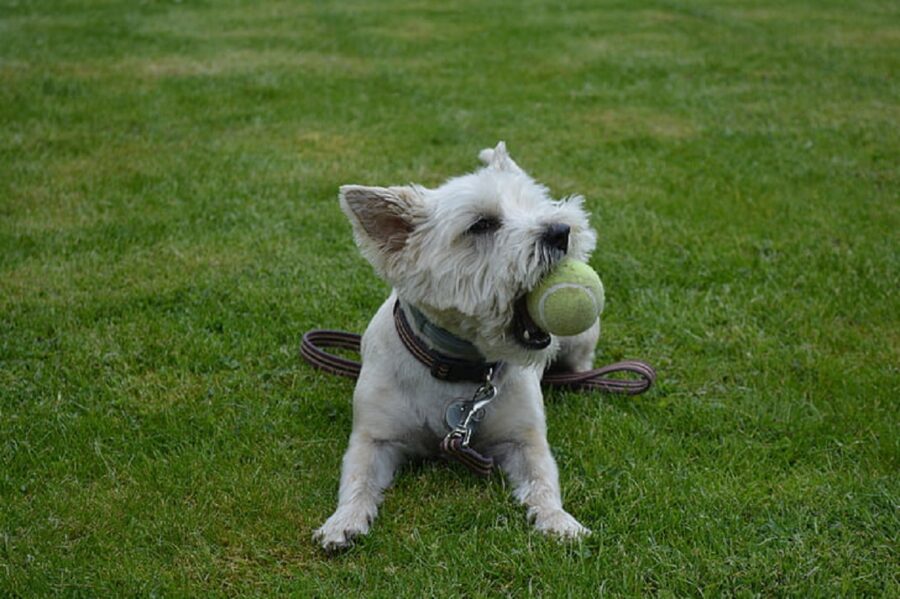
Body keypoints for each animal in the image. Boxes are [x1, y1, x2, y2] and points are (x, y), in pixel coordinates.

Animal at [312, 142, 600, 552]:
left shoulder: (524, 439)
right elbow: (358, 480)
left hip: (582, 339)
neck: (458, 365)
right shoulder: (374, 438)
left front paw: (560, 522)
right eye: (481, 224)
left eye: (537, 204)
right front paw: (342, 522)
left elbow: (542, 482)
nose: (561, 230)